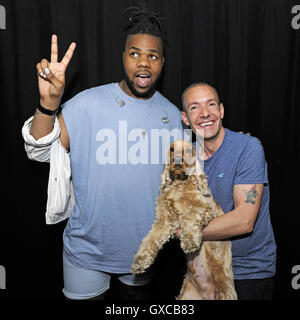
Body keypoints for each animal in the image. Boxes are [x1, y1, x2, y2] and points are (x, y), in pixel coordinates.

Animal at [131, 140, 237, 300]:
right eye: (172, 149)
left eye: (187, 150)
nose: (177, 161)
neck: (179, 185)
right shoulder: (163, 220)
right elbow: (150, 239)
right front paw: (140, 260)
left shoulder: (206, 208)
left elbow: (189, 216)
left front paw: (189, 241)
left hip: (225, 285)